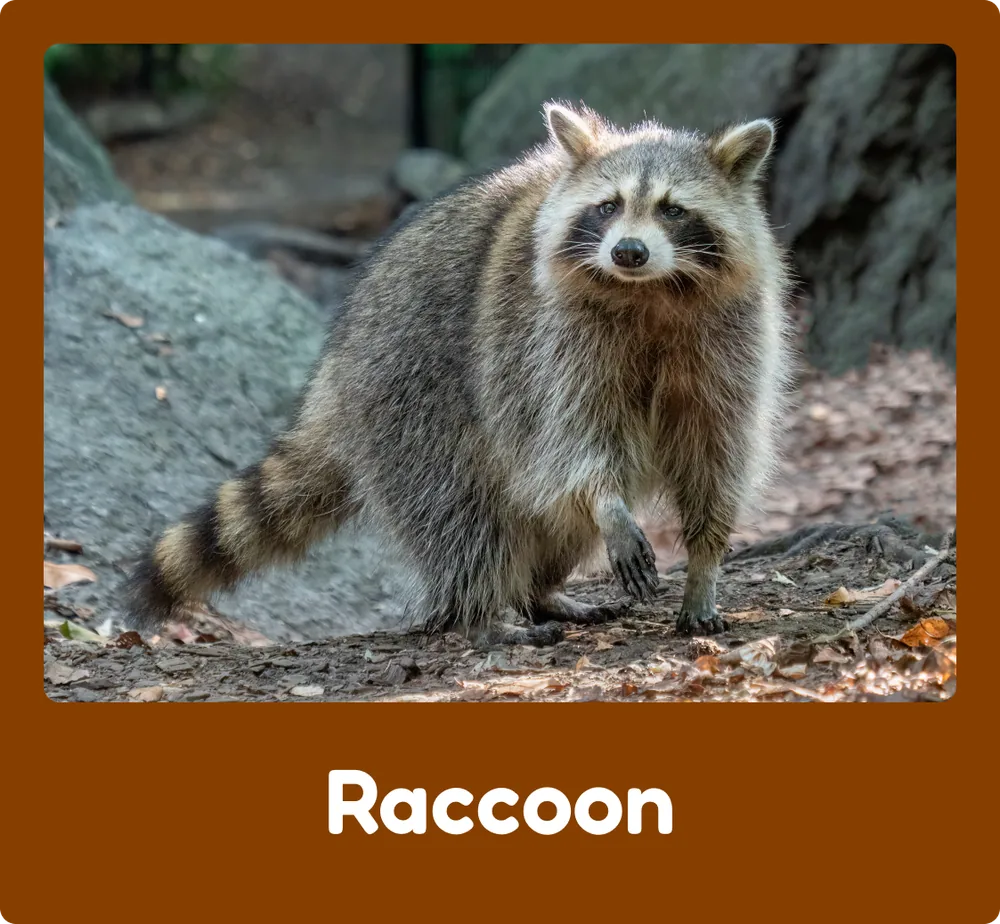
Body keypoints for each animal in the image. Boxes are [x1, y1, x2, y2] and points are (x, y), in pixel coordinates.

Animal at [123, 101, 793, 647]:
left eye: (673, 210)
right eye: (608, 207)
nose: (628, 251)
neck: (651, 290)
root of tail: (335, 371)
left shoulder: (731, 338)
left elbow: (717, 448)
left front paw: (705, 562)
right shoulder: (547, 338)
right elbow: (573, 436)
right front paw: (609, 503)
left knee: (546, 517)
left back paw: (540, 591)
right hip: (410, 392)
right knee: (461, 508)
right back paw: (482, 611)